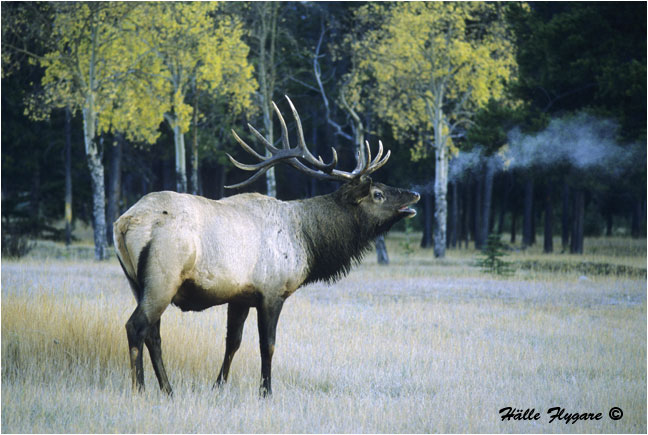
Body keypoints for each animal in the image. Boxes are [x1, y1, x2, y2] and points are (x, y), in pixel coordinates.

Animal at [113, 96, 420, 397]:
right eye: (378, 194)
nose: (415, 193)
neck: (308, 241)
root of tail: (124, 222)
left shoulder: (240, 296)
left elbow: (233, 342)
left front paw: (218, 386)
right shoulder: (272, 291)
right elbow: (268, 345)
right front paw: (266, 392)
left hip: (137, 282)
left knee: (153, 334)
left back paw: (168, 390)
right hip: (163, 278)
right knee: (136, 326)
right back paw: (140, 389)